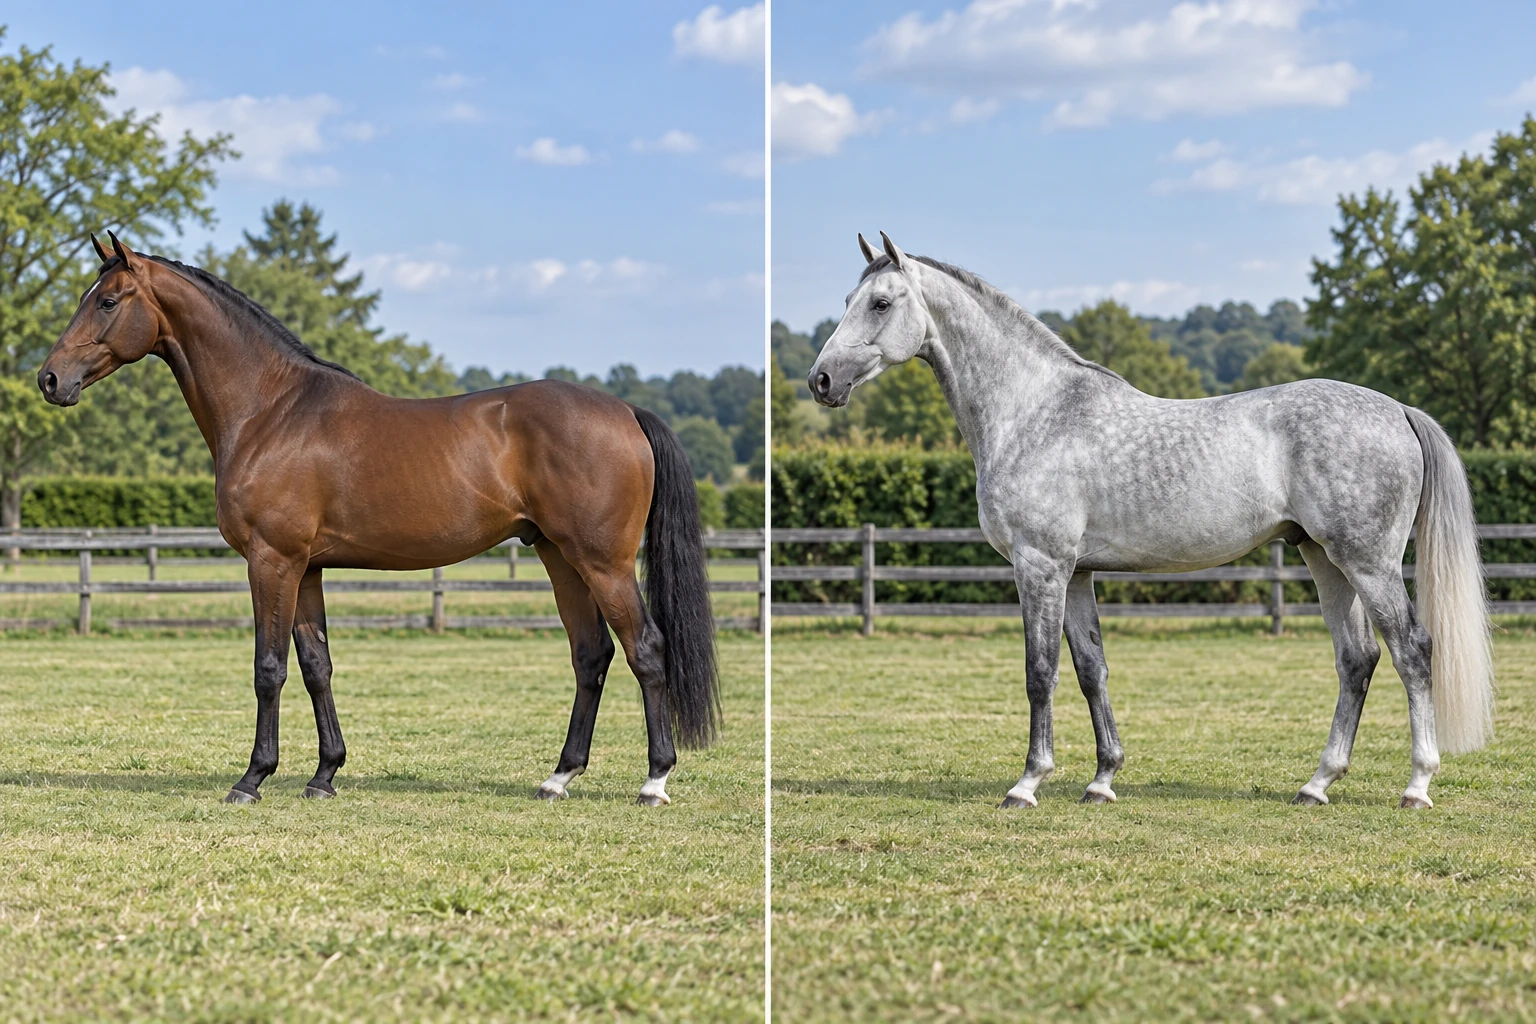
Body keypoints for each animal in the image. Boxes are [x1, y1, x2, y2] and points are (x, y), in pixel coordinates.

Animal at [37, 232, 719, 808]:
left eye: (108, 300)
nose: (50, 378)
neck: (270, 411)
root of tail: (625, 411)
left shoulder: (271, 561)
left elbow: (268, 668)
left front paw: (252, 778)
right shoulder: (306, 568)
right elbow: (316, 667)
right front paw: (323, 775)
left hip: (603, 562)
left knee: (645, 649)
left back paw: (655, 781)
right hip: (559, 557)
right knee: (590, 655)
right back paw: (559, 777)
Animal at [807, 231, 1493, 810]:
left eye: (881, 303)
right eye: (848, 300)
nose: (821, 380)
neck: (1034, 411)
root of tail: (1397, 410)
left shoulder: (1040, 567)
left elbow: (1039, 672)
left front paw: (1027, 784)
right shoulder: (1077, 573)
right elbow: (1091, 670)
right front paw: (1102, 779)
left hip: (1368, 562)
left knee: (1412, 652)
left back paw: (1416, 785)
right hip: (1324, 559)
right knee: (1357, 660)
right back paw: (1316, 785)